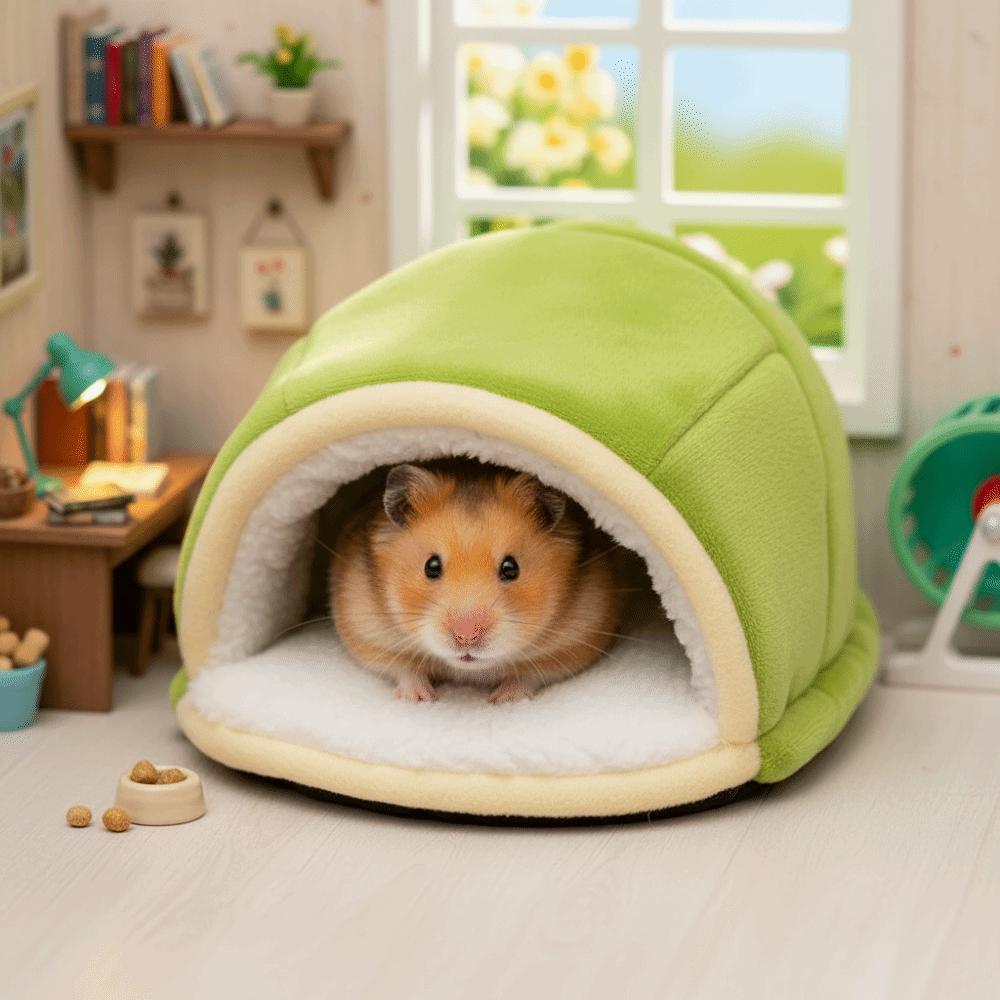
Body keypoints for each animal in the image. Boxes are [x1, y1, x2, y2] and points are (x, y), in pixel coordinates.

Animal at [329, 461, 625, 703]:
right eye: (431, 566)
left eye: (511, 568)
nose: (466, 635)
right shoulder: (366, 632)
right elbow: (405, 669)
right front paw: (420, 698)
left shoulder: (576, 640)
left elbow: (529, 673)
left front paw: (504, 699)